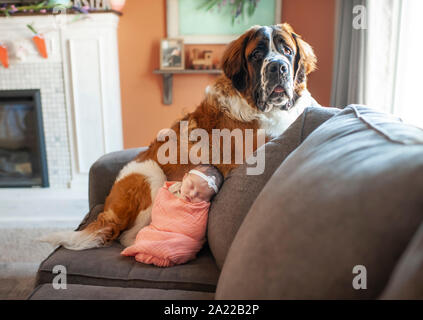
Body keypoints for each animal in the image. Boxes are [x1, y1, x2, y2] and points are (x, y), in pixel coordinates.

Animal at [42, 23, 318, 251]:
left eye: (287, 51)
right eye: (257, 55)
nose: (277, 67)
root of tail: (109, 208)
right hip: (150, 175)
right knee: (128, 235)